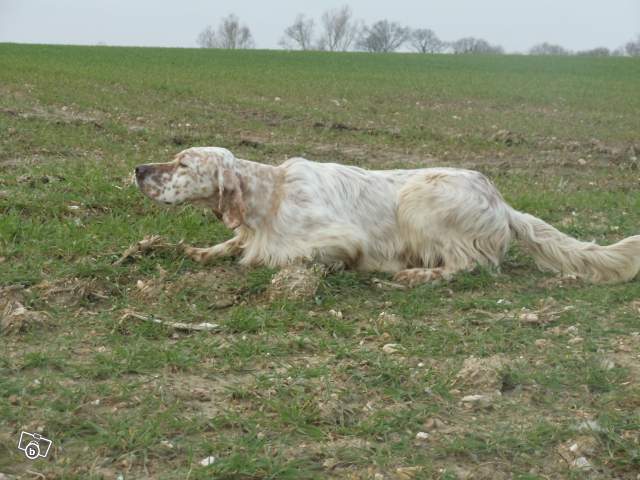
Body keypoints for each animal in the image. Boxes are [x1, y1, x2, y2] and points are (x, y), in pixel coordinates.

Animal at [136, 147, 640, 284]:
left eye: (183, 164)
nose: (138, 169)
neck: (271, 195)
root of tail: (502, 203)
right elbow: (230, 244)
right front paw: (195, 249)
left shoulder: (339, 240)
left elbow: (282, 256)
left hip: (419, 196)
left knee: (471, 265)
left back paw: (416, 275)